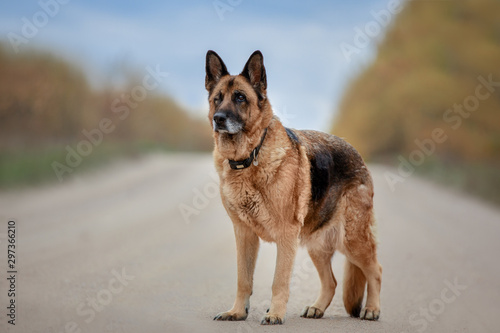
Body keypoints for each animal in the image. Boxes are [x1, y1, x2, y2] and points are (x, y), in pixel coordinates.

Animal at [205, 50, 380, 322]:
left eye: (240, 97)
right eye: (217, 98)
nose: (218, 119)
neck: (250, 156)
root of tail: (356, 152)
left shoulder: (286, 236)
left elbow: (279, 280)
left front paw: (275, 314)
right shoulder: (244, 234)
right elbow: (243, 279)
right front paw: (237, 312)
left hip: (352, 240)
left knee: (375, 270)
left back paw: (372, 309)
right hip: (317, 244)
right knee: (331, 282)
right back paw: (317, 308)